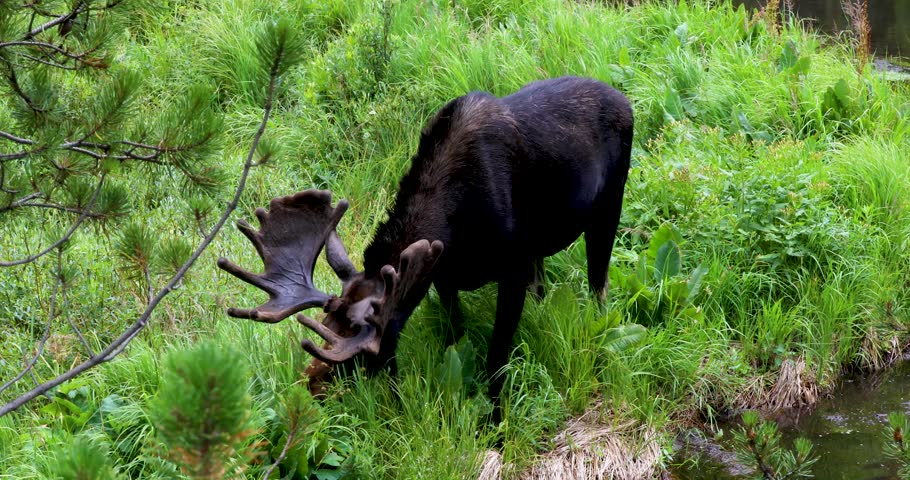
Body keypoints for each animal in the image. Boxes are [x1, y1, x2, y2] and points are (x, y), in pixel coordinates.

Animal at [217, 76, 633, 404]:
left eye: (362, 356)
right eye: (325, 321)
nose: (310, 387)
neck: (457, 230)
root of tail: (626, 101)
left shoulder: (511, 270)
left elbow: (496, 359)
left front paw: (496, 425)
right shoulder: (444, 275)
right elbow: (456, 336)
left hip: (610, 205)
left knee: (599, 284)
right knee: (544, 280)